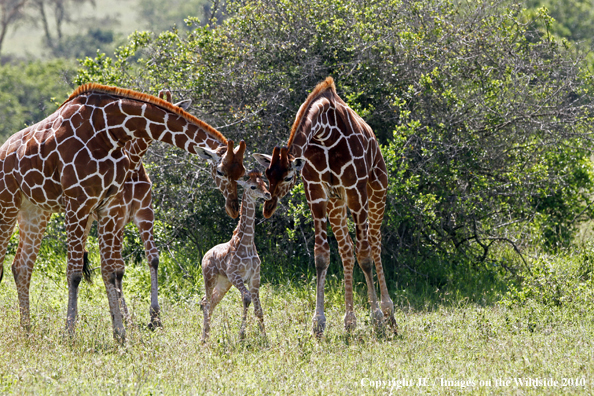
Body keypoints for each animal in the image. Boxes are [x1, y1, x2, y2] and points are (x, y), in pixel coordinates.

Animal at [0, 83, 245, 340]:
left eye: (243, 172)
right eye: (221, 171)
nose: (232, 207)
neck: (111, 130)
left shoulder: (112, 208)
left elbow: (112, 270)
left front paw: (121, 333)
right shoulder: (79, 202)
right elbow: (75, 273)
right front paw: (69, 332)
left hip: (35, 210)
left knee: (21, 266)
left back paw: (26, 328)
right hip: (8, 203)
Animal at [201, 170, 270, 340]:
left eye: (265, 184)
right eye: (253, 186)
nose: (268, 194)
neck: (247, 243)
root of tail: (204, 255)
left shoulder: (255, 277)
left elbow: (259, 309)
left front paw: (265, 338)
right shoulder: (235, 274)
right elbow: (246, 298)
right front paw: (241, 335)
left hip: (223, 282)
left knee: (210, 301)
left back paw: (207, 335)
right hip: (210, 278)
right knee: (206, 302)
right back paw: (204, 338)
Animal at [253, 76, 396, 334]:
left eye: (288, 177)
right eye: (267, 174)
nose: (268, 209)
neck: (326, 135)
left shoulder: (355, 190)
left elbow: (365, 255)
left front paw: (377, 318)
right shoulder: (317, 193)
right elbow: (321, 255)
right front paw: (318, 323)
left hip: (377, 189)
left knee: (374, 242)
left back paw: (389, 314)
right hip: (337, 203)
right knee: (347, 248)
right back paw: (350, 321)